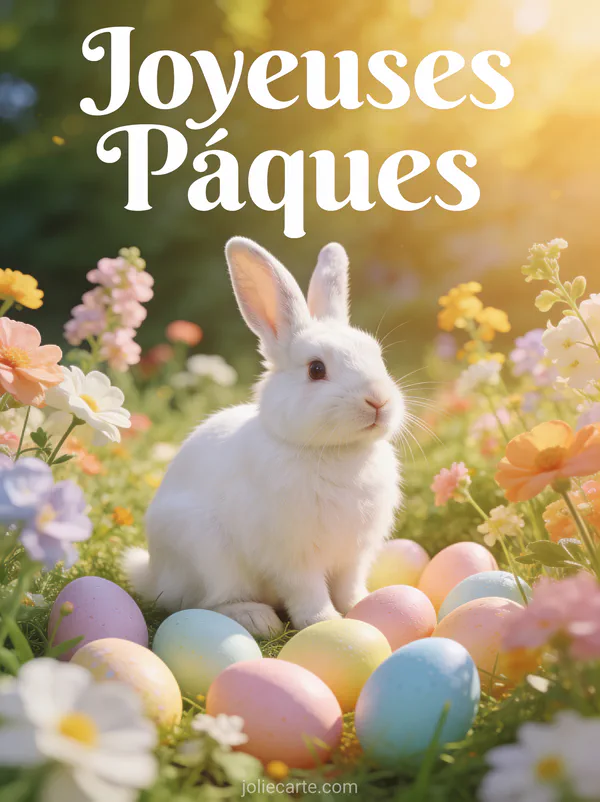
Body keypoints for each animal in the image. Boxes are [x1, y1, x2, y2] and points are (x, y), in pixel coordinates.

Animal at [123, 237, 405, 637]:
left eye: (378, 357)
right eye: (316, 369)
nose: (378, 400)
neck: (334, 452)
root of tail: (151, 574)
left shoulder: (355, 553)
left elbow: (349, 585)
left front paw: (362, 605)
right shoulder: (293, 556)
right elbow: (307, 591)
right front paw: (324, 622)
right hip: (208, 554)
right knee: (207, 602)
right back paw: (256, 618)